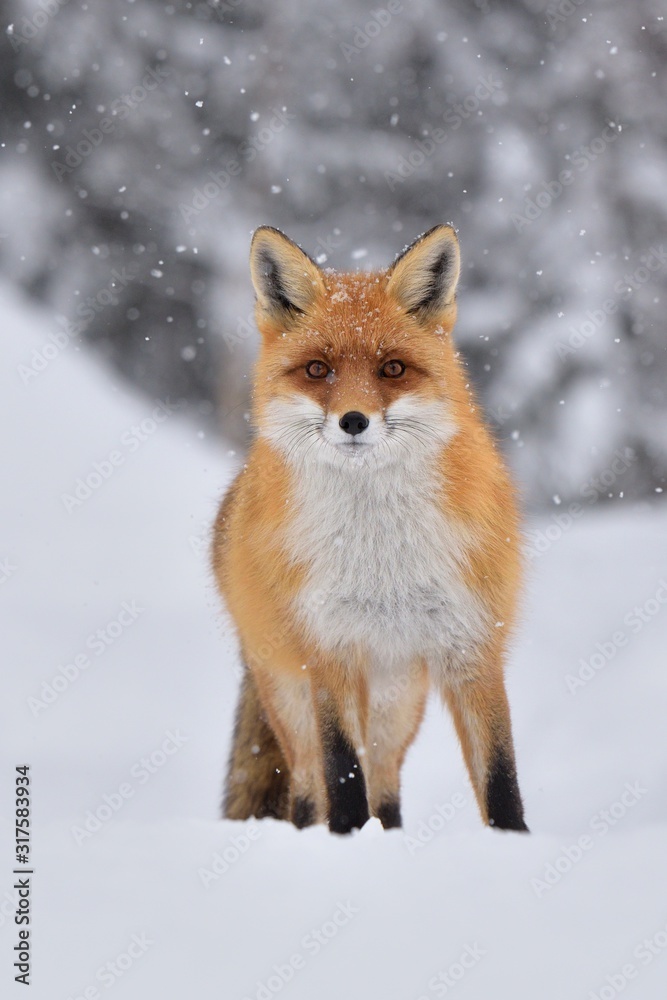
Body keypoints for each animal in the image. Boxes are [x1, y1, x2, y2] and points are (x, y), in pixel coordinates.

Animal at [211, 224, 529, 835]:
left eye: (392, 369)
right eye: (318, 369)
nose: (353, 421)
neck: (382, 556)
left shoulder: (474, 645)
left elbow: (500, 778)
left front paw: (515, 843)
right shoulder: (330, 650)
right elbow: (342, 775)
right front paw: (349, 842)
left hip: (397, 703)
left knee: (385, 782)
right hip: (291, 694)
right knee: (308, 788)